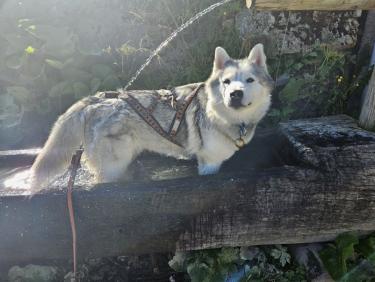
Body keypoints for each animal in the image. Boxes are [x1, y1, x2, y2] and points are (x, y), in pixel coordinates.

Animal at [30, 43, 274, 192]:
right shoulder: (209, 164)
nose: (235, 94)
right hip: (112, 167)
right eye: (227, 82)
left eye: (250, 80)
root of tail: (94, 100)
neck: (225, 117)